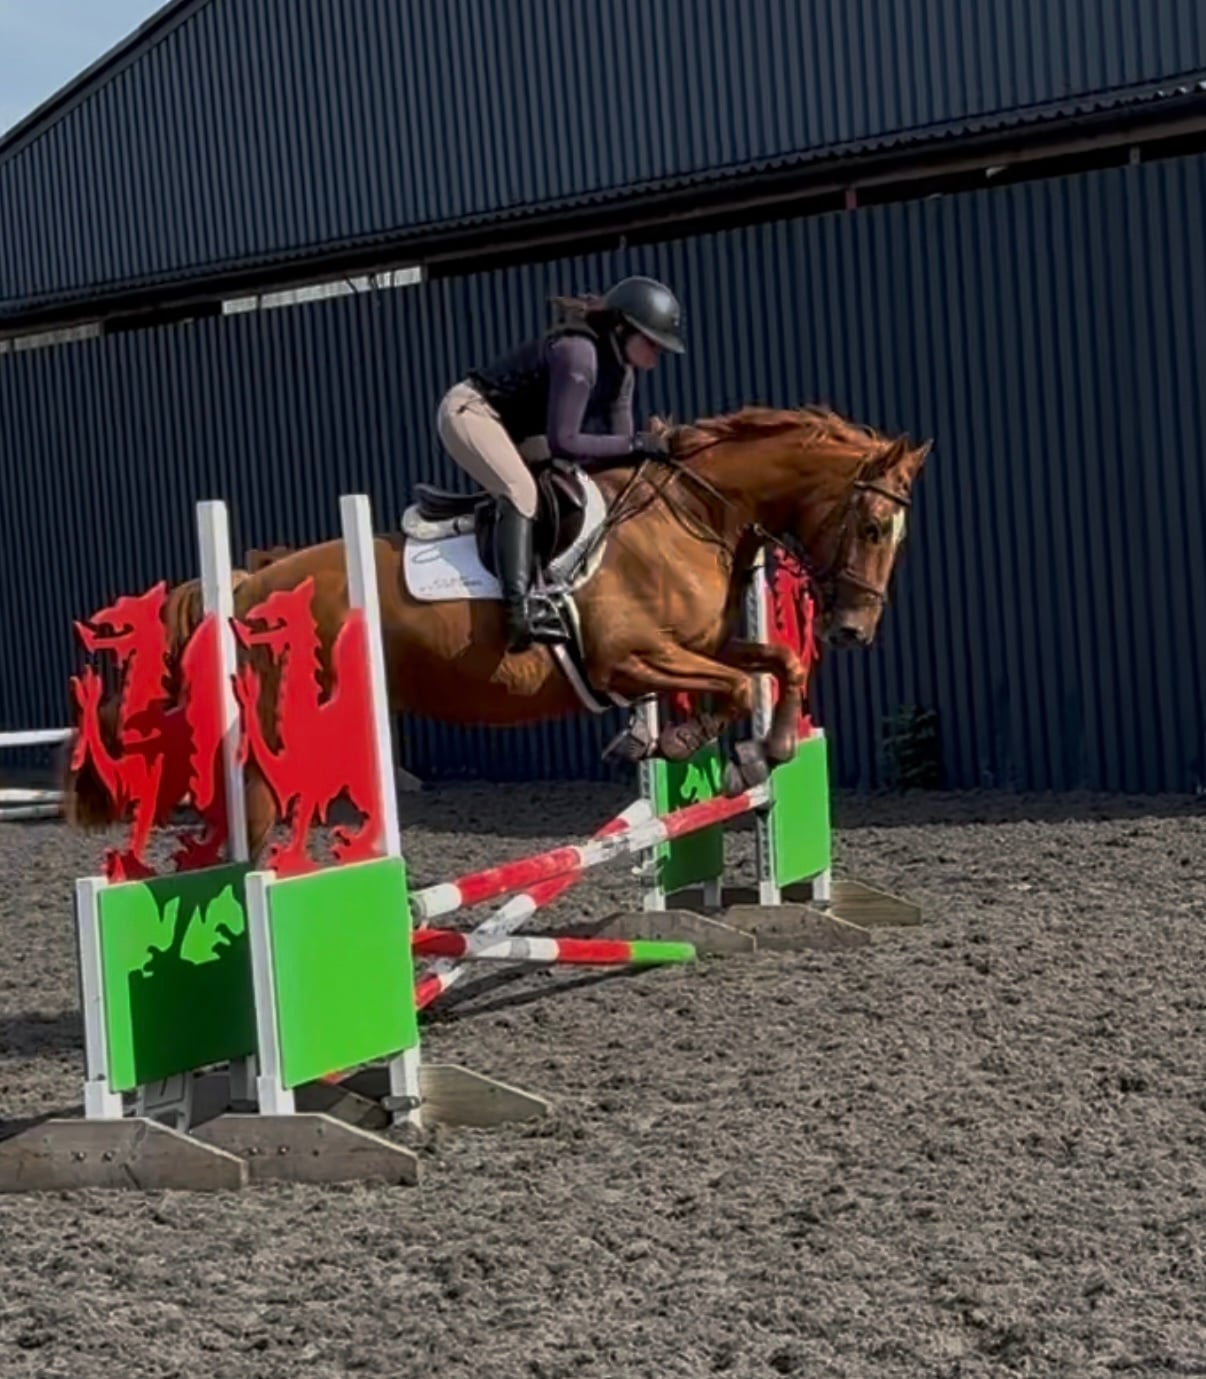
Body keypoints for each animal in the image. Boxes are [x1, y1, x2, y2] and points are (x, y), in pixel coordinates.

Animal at [63, 403, 930, 862]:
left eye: (896, 532)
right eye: (874, 526)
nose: (853, 629)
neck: (691, 512)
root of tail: (247, 584)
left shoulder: (697, 646)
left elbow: (772, 662)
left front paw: (733, 742)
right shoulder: (631, 658)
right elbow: (732, 687)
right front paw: (737, 749)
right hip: (282, 729)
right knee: (254, 818)